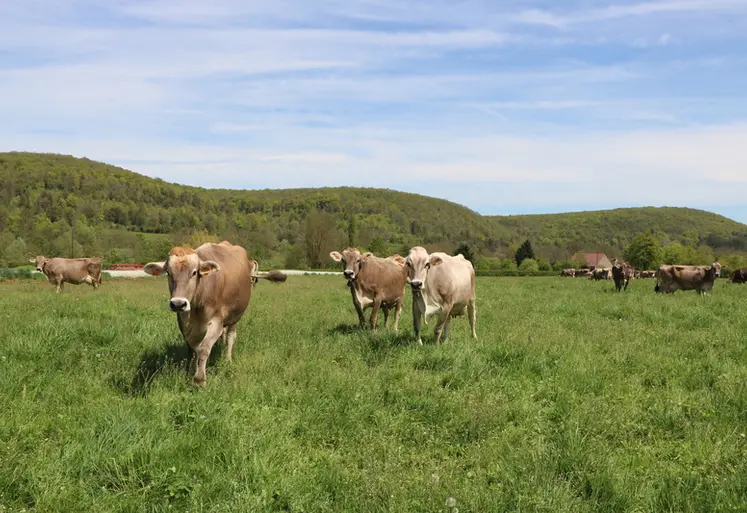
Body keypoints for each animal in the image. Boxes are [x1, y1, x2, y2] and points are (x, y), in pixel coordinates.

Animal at [144, 242, 286, 385]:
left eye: (194, 272)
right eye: (168, 272)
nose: (178, 304)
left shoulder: (216, 322)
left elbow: (204, 348)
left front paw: (199, 380)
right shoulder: (184, 323)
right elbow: (194, 349)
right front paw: (191, 371)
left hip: (236, 316)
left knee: (230, 337)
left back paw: (228, 359)